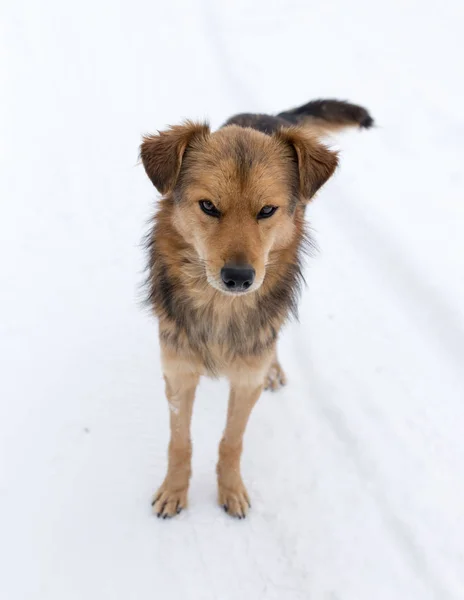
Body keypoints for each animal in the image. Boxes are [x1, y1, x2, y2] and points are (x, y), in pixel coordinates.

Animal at [141, 99, 374, 520]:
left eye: (267, 210)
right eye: (208, 206)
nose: (238, 277)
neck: (221, 310)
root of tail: (269, 116)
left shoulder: (246, 380)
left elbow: (231, 441)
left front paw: (230, 489)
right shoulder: (178, 374)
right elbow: (180, 442)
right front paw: (174, 490)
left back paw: (274, 369)